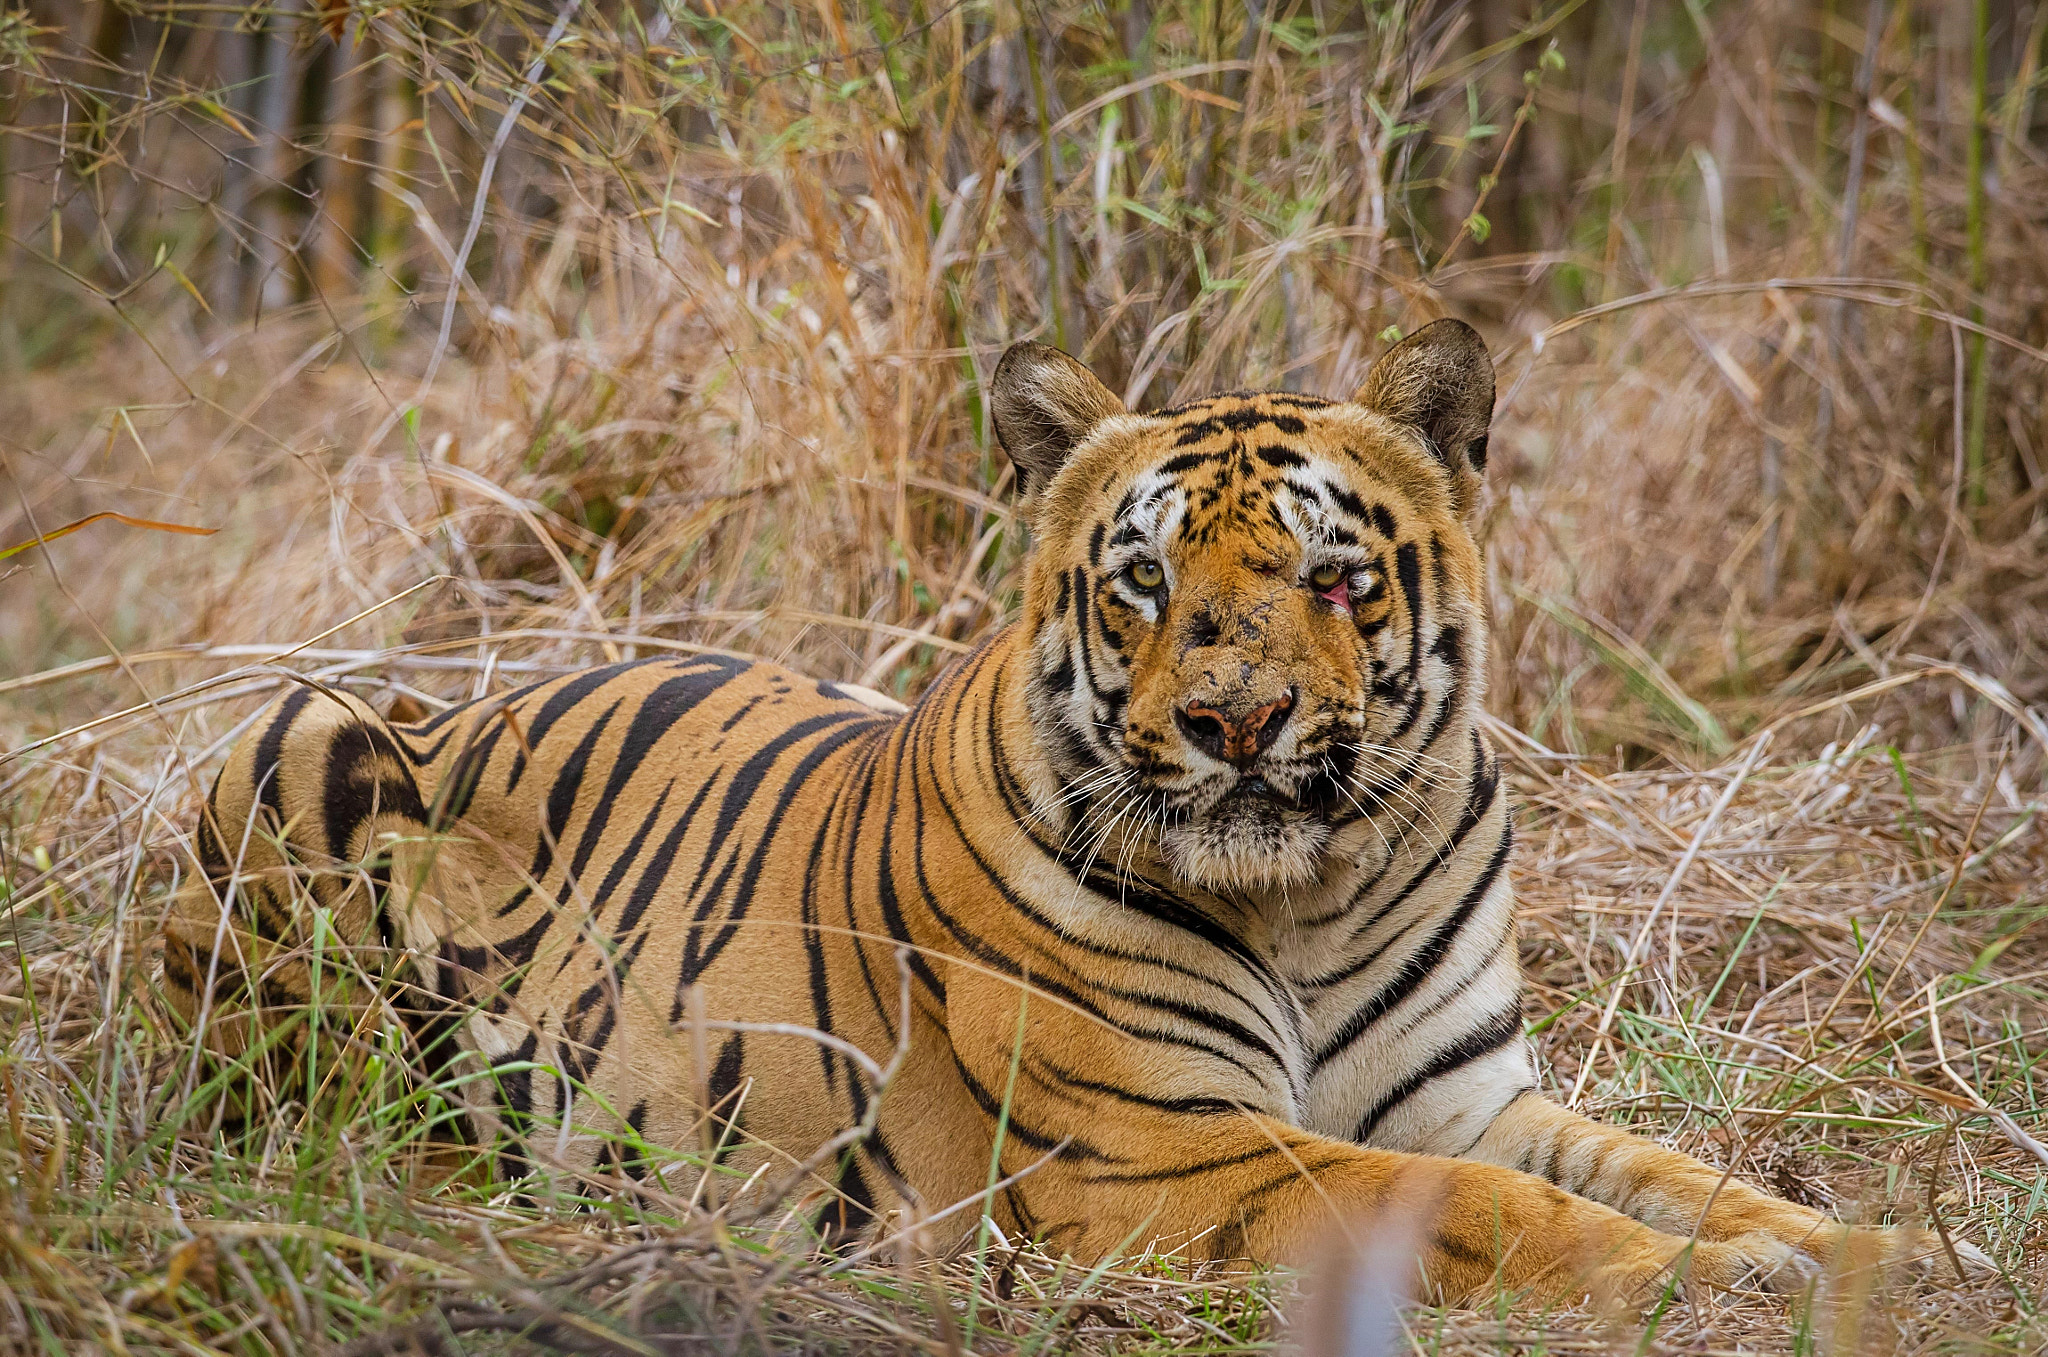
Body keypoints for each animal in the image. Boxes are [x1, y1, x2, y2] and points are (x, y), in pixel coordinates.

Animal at [160, 319, 1984, 1307]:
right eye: (1145, 584)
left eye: (1331, 577)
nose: (1234, 722)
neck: (1311, 896)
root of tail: (453, 688)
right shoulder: (1159, 1152)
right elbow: (1488, 1211)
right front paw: (1712, 1288)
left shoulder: (1462, 1097)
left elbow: (1681, 1172)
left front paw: (1878, 1255)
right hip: (298, 746)